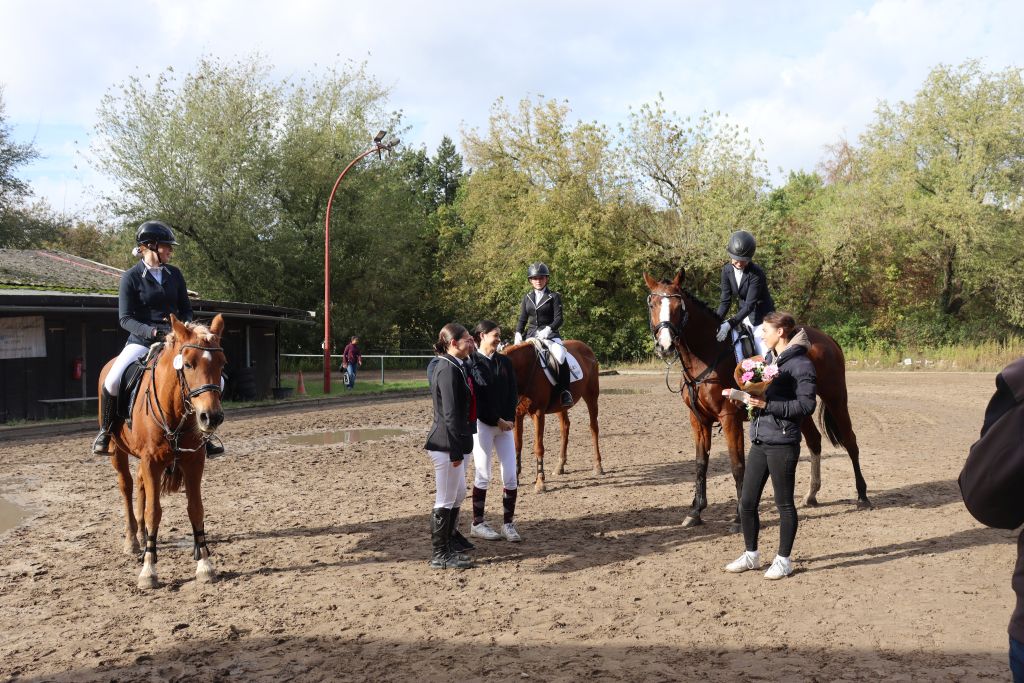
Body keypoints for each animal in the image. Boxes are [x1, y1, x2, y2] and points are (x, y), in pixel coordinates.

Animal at [98, 314, 227, 589]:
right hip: (117, 451)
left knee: (140, 486)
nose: (211, 417)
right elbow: (153, 512)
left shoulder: (194, 461)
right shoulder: (152, 462)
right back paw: (133, 541)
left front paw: (204, 564)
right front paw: (148, 570)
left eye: (222, 363)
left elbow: (196, 509)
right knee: (126, 486)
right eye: (187, 364)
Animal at [502, 340, 603, 492]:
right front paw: (516, 478)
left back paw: (598, 466)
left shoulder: (538, 414)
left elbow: (538, 447)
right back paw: (560, 466)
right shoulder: (517, 414)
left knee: (593, 428)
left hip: (591, 396)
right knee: (565, 428)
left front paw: (540, 482)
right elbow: (517, 445)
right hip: (561, 406)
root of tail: (586, 347)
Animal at [643, 270, 870, 531]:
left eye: (678, 306)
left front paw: (739, 518)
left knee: (850, 441)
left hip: (836, 397)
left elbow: (737, 465)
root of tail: (826, 338)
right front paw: (695, 511)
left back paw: (862, 496)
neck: (707, 353)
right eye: (652, 304)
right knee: (814, 441)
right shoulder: (698, 420)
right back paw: (811, 495)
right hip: (798, 410)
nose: (666, 345)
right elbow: (701, 463)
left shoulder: (729, 418)